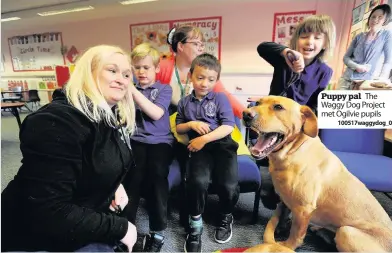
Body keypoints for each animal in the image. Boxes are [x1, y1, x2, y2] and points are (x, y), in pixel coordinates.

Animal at [247, 96, 390, 251]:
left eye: (278, 107)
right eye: (258, 103)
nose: (246, 114)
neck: (292, 151)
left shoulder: (304, 209)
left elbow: (296, 234)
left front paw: (286, 246)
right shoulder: (286, 199)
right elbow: (283, 214)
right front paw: (280, 228)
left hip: (346, 232)